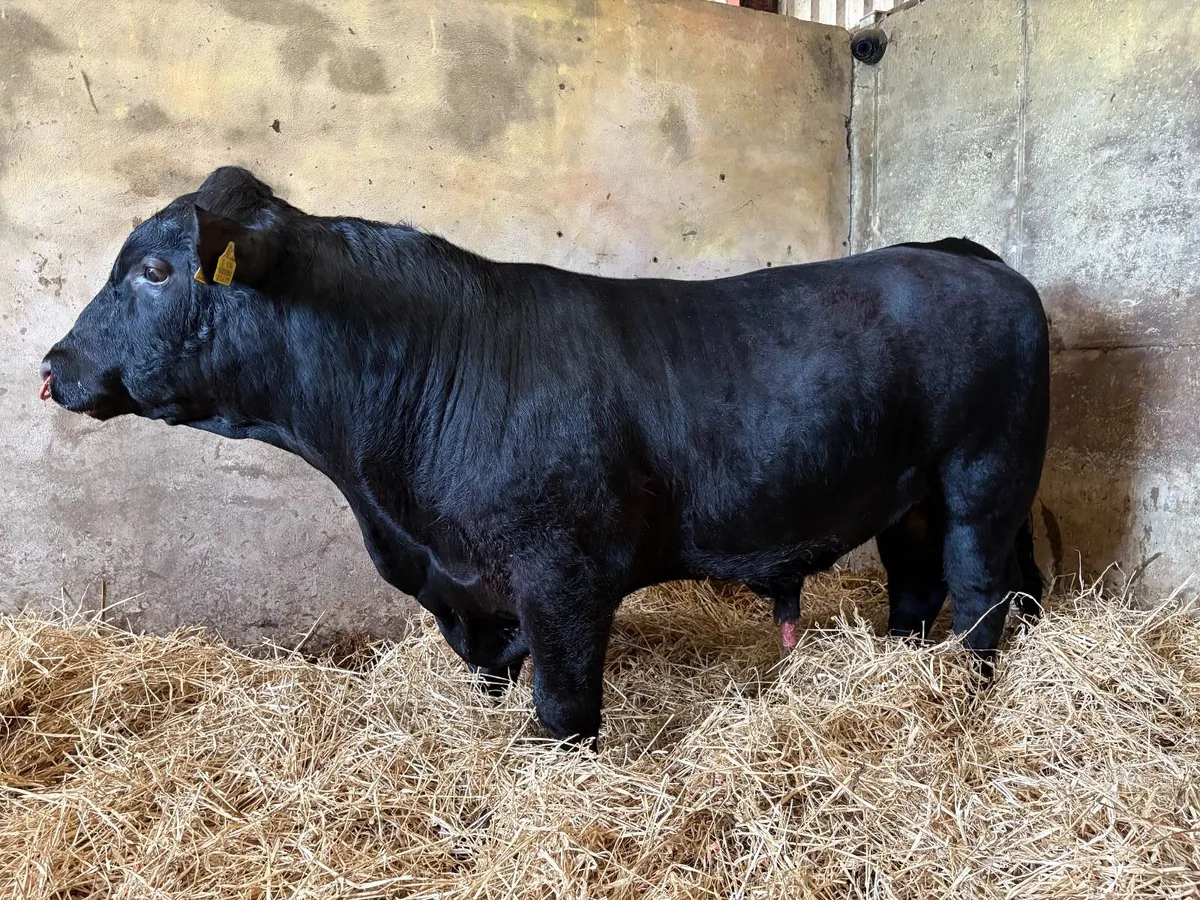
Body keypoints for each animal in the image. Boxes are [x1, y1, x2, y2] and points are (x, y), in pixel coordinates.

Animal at [41, 166, 1049, 746]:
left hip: (983, 477)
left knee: (980, 596)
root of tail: (964, 254)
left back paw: (965, 700)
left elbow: (563, 713)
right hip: (908, 498)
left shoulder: (564, 575)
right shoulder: (475, 589)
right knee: (933, 589)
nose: (53, 366)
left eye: (155, 271)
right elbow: (494, 679)